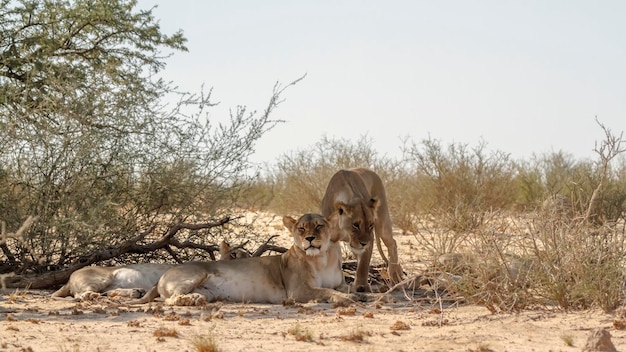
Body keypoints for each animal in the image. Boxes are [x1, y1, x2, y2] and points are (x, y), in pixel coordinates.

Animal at [51, 239, 246, 300]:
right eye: (235, 254)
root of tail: (69, 278)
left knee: (107, 292)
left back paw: (135, 292)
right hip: (101, 278)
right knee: (80, 295)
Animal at [130, 213, 356, 306]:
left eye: (319, 226)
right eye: (301, 229)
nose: (309, 239)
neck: (322, 259)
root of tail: (162, 276)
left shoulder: (339, 282)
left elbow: (347, 287)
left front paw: (354, 293)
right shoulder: (298, 290)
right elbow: (327, 291)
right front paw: (346, 299)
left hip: (209, 291)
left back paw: (196, 298)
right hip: (196, 273)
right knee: (169, 299)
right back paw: (189, 300)